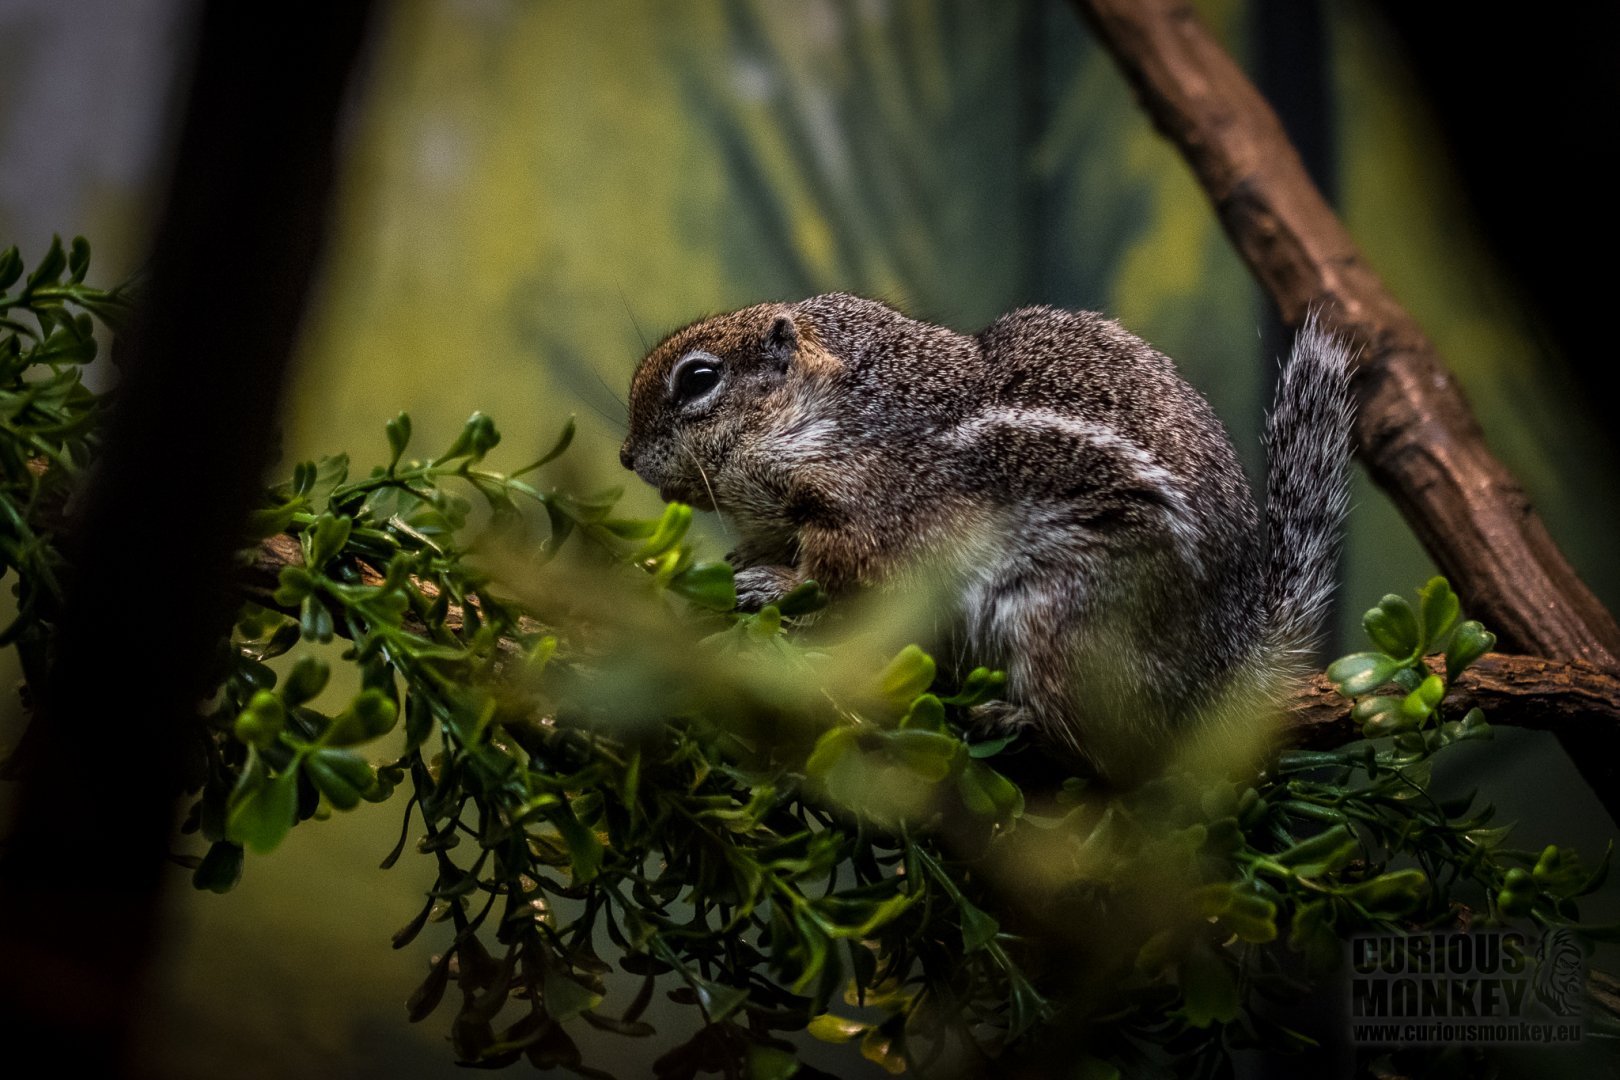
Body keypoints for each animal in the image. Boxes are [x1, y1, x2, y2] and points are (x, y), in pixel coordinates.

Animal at [619, 294, 1353, 780]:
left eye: (699, 378)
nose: (626, 456)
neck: (831, 415)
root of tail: (1230, 660)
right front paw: (745, 557)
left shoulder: (871, 519)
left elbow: (837, 578)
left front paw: (770, 584)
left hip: (1059, 625)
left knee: (1113, 751)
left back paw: (1014, 720)